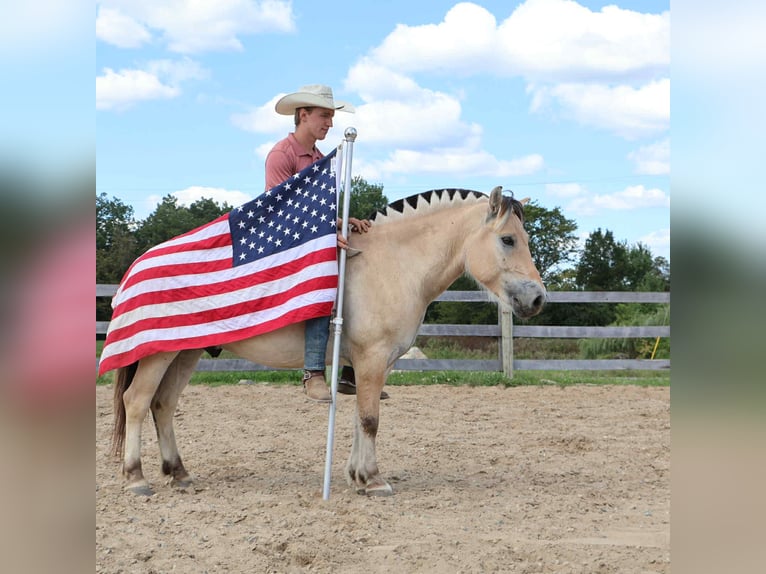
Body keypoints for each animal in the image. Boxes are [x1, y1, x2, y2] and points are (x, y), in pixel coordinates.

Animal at [109, 186, 546, 496]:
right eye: (508, 239)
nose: (538, 298)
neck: (395, 264)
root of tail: (138, 265)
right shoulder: (372, 359)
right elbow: (370, 419)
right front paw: (373, 480)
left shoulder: (372, 366)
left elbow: (360, 417)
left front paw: (356, 475)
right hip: (159, 355)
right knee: (137, 402)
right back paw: (136, 478)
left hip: (185, 353)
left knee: (164, 405)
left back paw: (179, 473)